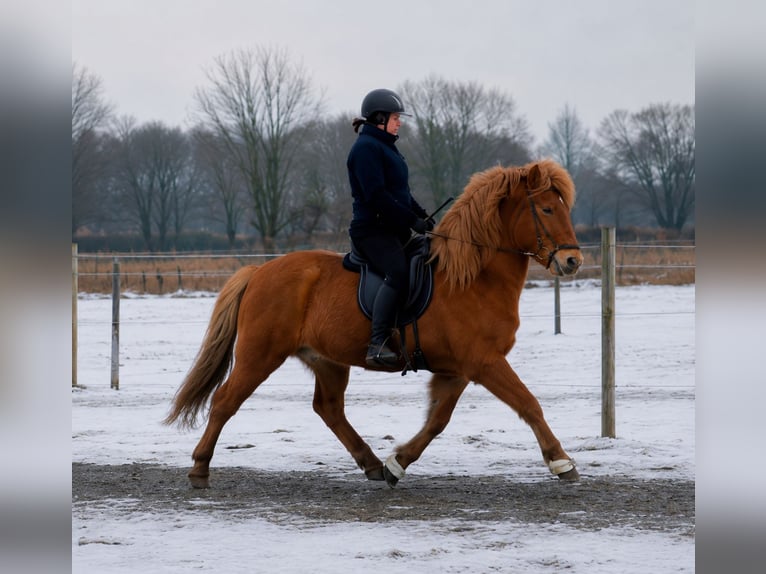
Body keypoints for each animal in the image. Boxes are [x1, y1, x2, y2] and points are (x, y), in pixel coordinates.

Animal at [165, 159, 583, 489]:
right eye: (547, 209)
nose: (572, 261)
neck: (472, 278)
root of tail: (259, 271)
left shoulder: (458, 369)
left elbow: (437, 420)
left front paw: (398, 463)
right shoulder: (484, 362)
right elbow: (528, 404)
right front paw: (561, 461)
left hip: (327, 360)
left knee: (329, 409)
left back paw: (370, 464)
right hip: (260, 354)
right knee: (225, 401)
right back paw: (199, 469)